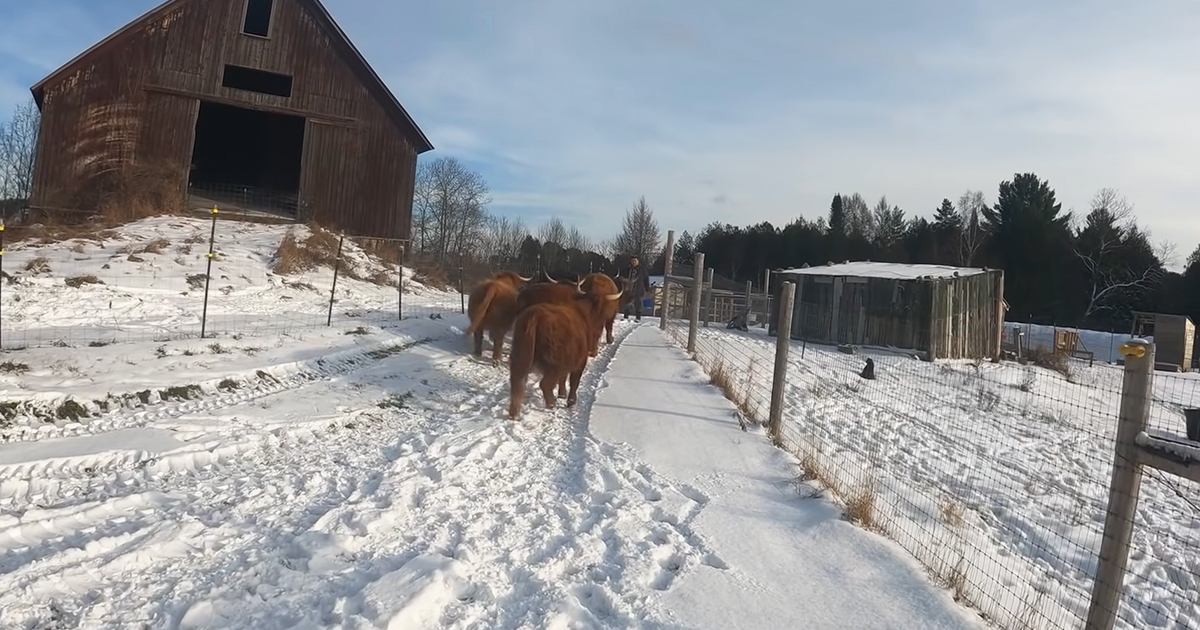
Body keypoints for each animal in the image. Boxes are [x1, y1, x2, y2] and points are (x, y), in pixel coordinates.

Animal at [508, 288, 623, 418]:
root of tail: (536, 314)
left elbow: (563, 379)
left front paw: (562, 394)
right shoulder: (579, 361)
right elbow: (574, 381)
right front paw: (571, 401)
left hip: (519, 356)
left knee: (517, 383)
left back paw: (514, 413)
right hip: (554, 364)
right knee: (545, 384)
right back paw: (551, 404)